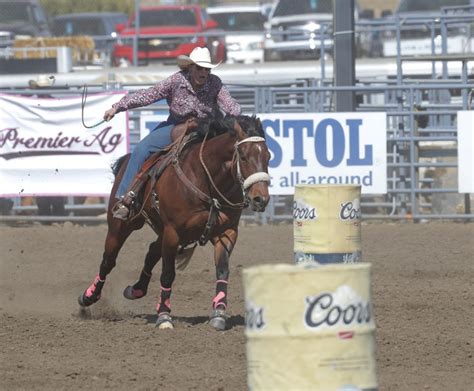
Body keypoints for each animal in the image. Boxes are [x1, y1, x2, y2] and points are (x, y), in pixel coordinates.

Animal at [78, 115, 270, 330]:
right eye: (243, 156)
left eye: (268, 156)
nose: (261, 199)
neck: (205, 179)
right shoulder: (173, 232)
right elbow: (168, 274)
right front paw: (164, 316)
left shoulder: (227, 232)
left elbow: (222, 271)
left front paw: (219, 313)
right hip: (121, 226)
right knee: (108, 260)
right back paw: (88, 296)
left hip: (161, 231)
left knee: (151, 252)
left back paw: (136, 290)